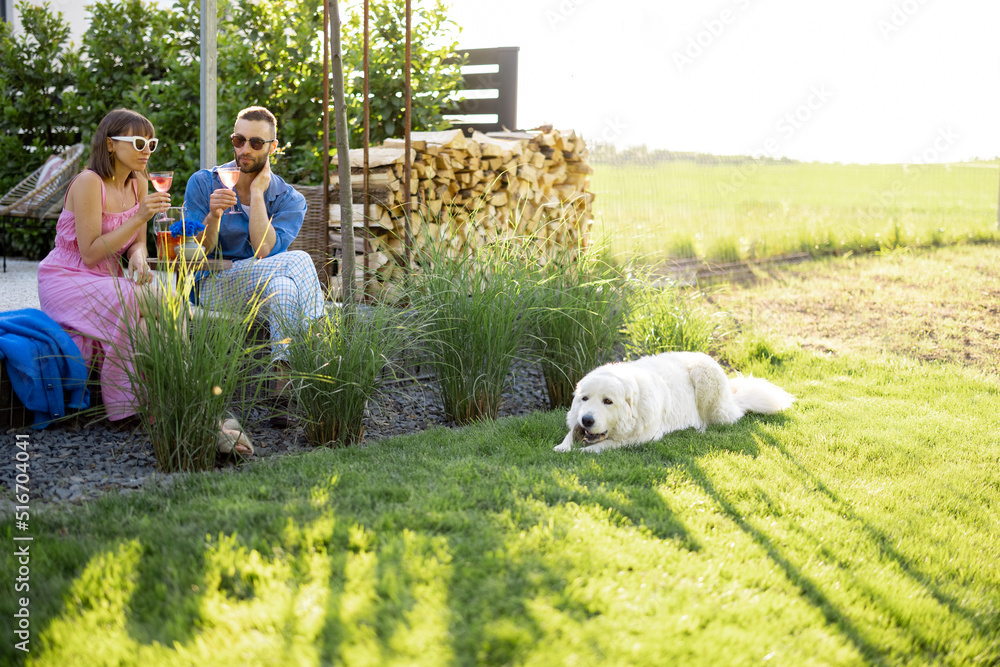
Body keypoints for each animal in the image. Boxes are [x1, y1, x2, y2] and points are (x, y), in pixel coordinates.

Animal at [556, 350, 796, 454]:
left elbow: (606, 444)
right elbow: (568, 436)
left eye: (608, 401)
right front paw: (563, 446)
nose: (587, 420)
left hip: (709, 388)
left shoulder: (645, 436)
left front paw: (583, 451)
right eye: (584, 398)